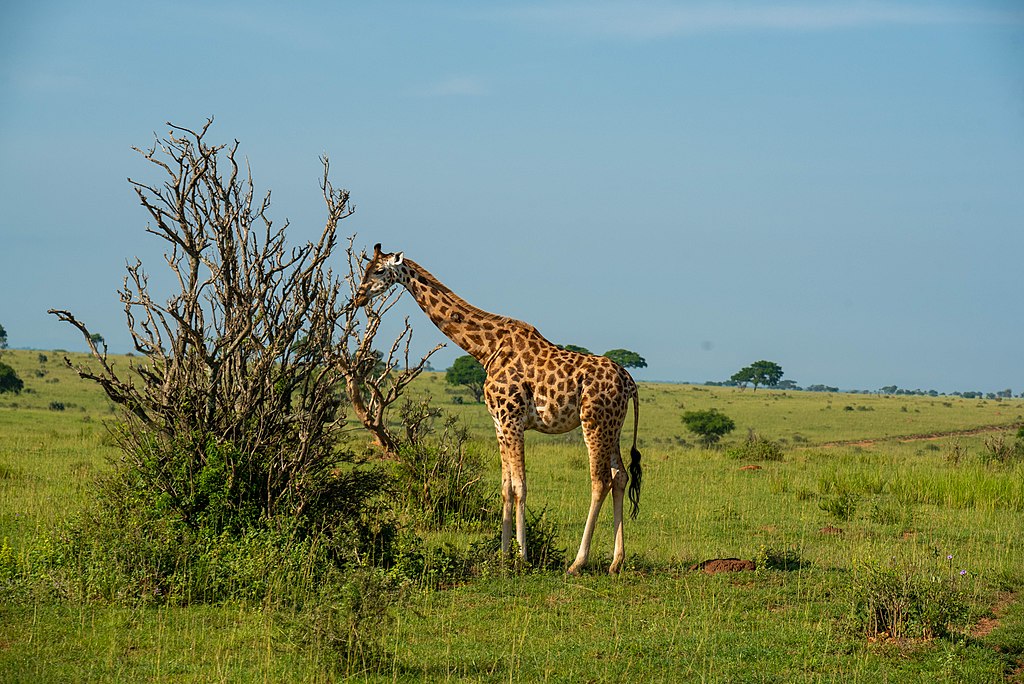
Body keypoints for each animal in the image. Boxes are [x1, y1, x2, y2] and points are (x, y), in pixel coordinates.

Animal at [354, 242, 638, 573]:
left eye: (379, 270)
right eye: (365, 269)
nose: (359, 296)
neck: (485, 349)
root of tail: (629, 380)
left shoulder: (512, 419)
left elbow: (520, 485)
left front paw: (523, 556)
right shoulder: (498, 422)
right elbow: (506, 487)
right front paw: (503, 555)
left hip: (593, 421)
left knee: (600, 480)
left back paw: (578, 562)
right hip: (613, 425)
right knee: (620, 477)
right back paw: (616, 562)